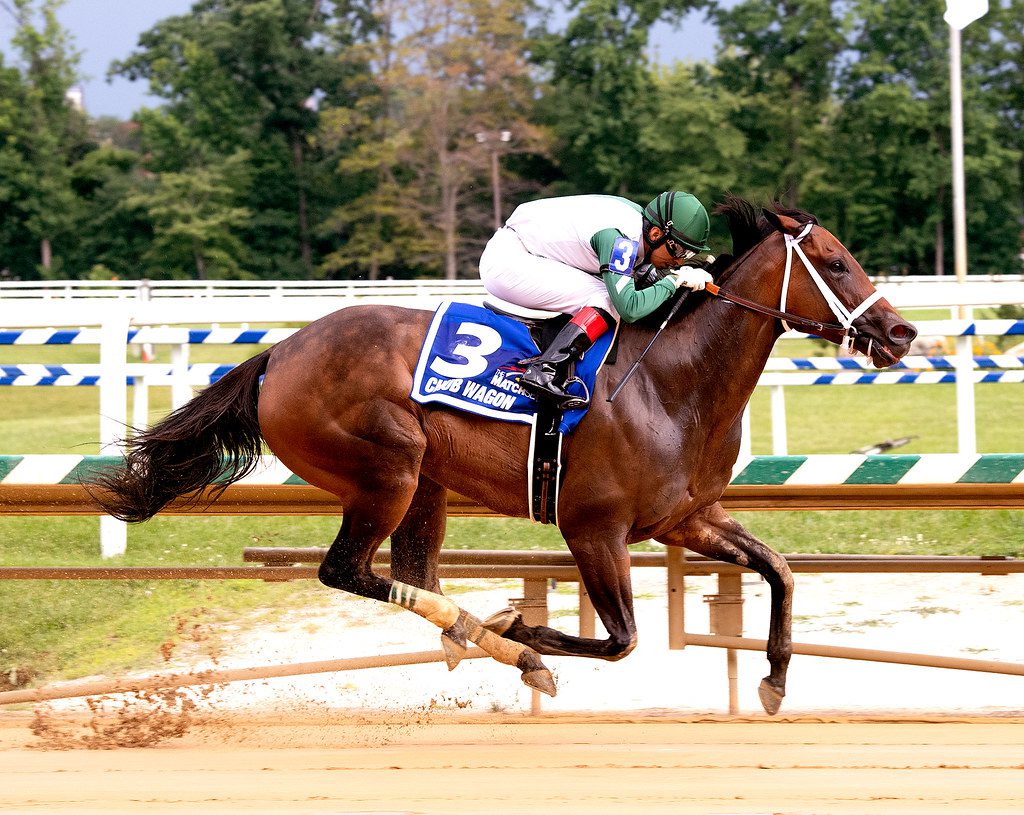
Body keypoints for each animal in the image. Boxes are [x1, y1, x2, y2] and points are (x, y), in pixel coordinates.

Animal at [92, 195, 917, 712]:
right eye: (835, 263)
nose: (902, 333)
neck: (672, 380)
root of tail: (280, 353)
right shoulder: (594, 527)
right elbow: (621, 639)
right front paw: (523, 632)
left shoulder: (687, 518)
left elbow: (778, 569)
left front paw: (775, 678)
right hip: (387, 467)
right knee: (347, 570)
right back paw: (499, 642)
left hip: (423, 481)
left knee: (409, 572)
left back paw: (467, 630)